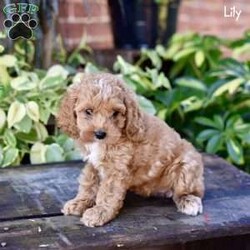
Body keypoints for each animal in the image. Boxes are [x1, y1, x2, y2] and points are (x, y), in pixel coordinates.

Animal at [57, 72, 205, 227]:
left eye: (115, 113)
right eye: (88, 111)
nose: (100, 134)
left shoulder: (116, 169)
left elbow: (107, 192)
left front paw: (99, 212)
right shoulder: (93, 164)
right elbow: (89, 183)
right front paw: (79, 202)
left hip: (187, 165)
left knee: (190, 191)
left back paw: (189, 201)